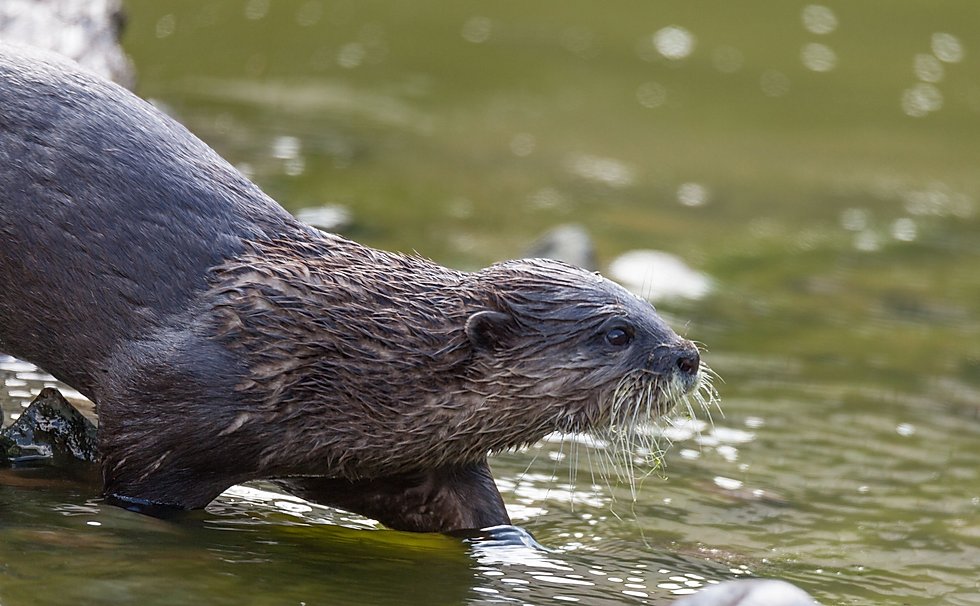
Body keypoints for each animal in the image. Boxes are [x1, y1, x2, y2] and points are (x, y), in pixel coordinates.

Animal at [0, 45, 704, 536]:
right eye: (617, 333)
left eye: (653, 310)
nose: (687, 356)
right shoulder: (161, 409)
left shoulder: (403, 463)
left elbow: (476, 516)